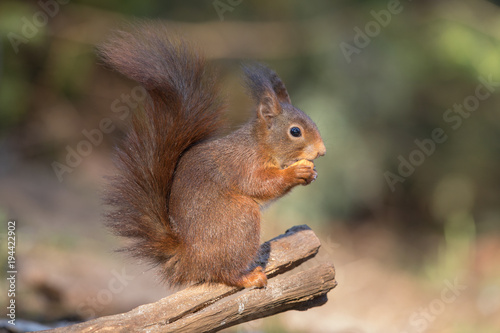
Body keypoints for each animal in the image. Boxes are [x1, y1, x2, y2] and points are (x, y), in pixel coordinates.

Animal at [99, 23, 326, 288]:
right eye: (295, 131)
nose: (322, 151)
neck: (261, 145)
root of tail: (188, 258)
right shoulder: (244, 164)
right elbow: (259, 184)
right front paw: (296, 172)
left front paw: (312, 174)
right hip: (240, 218)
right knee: (223, 272)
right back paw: (248, 277)